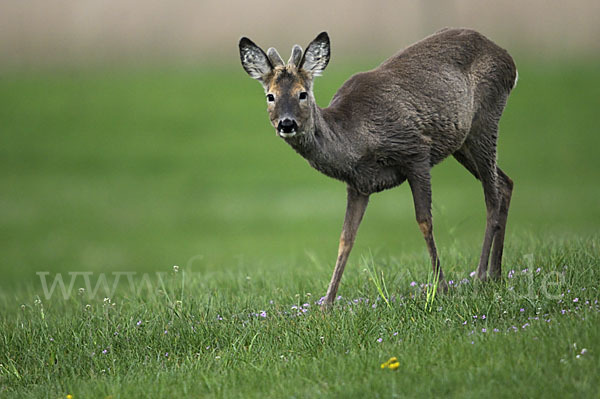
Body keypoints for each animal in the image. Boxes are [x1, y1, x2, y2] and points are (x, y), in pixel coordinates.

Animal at [238, 28, 516, 310]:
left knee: (491, 195)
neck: (356, 138)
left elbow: (424, 221)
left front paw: (443, 288)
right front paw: (326, 305)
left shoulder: (416, 150)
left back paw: (481, 276)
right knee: (505, 183)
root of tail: (508, 60)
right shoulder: (358, 185)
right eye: (270, 96)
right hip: (462, 141)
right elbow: (346, 238)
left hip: (485, 118)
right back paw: (496, 275)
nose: (286, 123)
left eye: (302, 93)